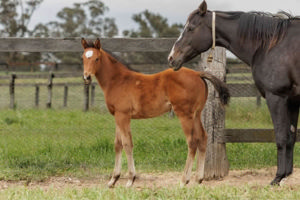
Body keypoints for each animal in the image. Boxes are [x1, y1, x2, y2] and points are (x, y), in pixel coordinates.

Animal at [81, 38, 229, 188]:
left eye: (97, 58)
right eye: (83, 58)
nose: (87, 77)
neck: (117, 81)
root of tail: (198, 74)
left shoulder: (123, 116)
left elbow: (127, 144)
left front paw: (130, 179)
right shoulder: (117, 116)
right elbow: (118, 144)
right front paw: (113, 180)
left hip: (184, 114)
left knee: (192, 142)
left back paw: (184, 180)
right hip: (196, 114)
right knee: (203, 138)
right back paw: (199, 178)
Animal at [169, 0, 300, 185]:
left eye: (191, 28)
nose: (171, 58)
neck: (270, 44)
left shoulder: (277, 98)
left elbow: (281, 137)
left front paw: (278, 177)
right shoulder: (293, 101)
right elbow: (290, 138)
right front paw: (286, 174)